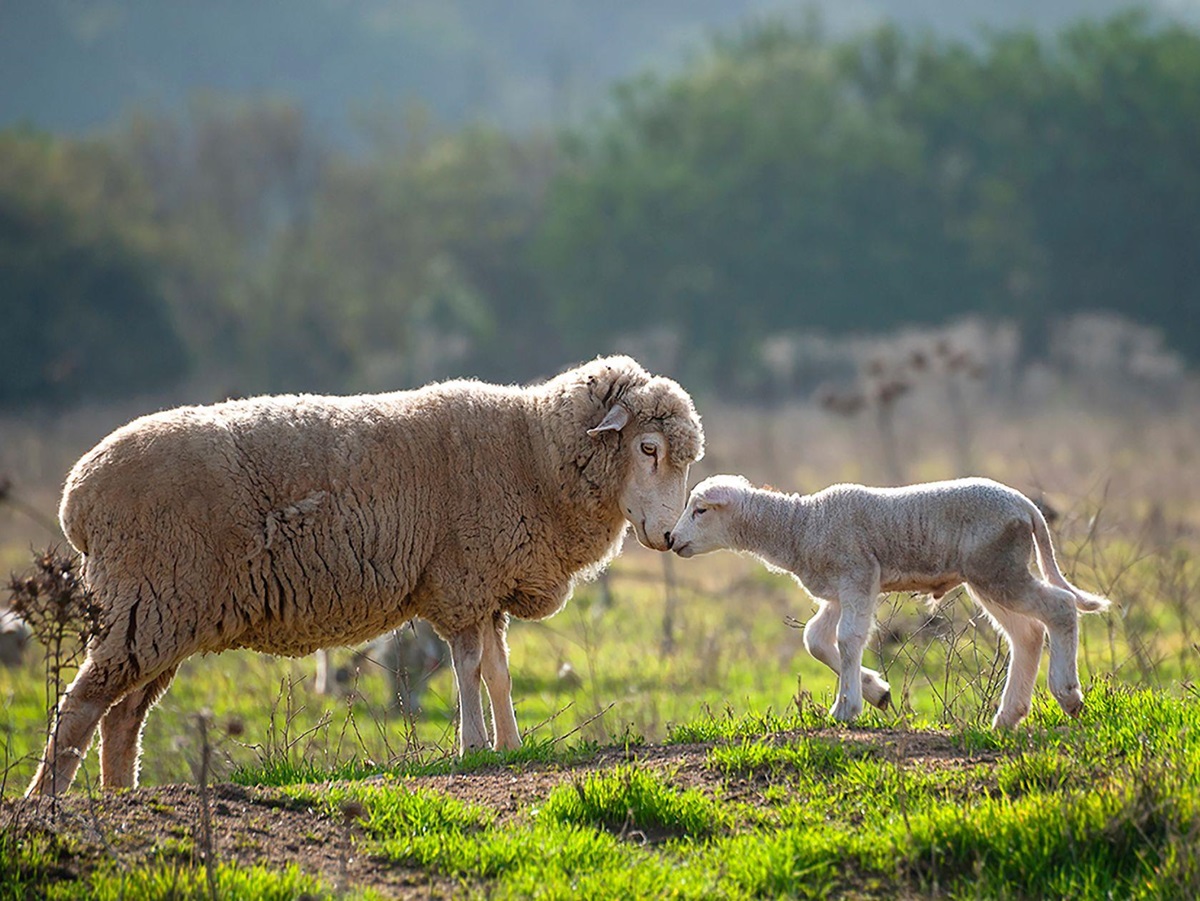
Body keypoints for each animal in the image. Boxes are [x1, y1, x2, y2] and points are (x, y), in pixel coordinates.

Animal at [28, 355, 704, 795]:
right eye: (647, 448)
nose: (668, 537)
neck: (531, 453)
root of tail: (76, 495)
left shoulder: (487, 587)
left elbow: (499, 672)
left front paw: (512, 747)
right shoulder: (461, 580)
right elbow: (467, 669)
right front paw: (473, 749)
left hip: (164, 617)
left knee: (123, 718)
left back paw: (123, 798)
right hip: (142, 604)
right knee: (80, 706)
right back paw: (49, 803)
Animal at [669, 475, 1109, 727]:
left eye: (700, 509)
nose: (672, 540)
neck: (802, 525)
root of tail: (1027, 507)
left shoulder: (857, 575)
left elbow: (847, 640)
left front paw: (846, 709)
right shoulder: (839, 590)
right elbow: (816, 639)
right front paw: (875, 691)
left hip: (998, 568)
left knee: (1059, 608)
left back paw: (1068, 695)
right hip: (991, 573)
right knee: (1028, 634)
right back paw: (1007, 717)